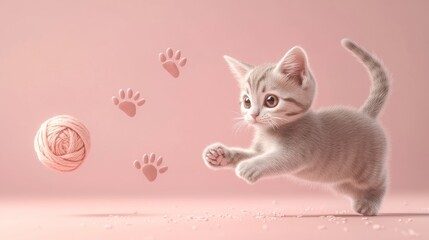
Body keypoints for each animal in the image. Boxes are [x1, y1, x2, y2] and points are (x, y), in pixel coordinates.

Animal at [202, 39, 390, 216]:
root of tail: (366, 114)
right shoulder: (259, 150)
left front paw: (251, 166)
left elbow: (275, 159)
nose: (253, 115)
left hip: (368, 171)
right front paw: (220, 155)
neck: (270, 132)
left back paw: (370, 203)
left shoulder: (300, 149)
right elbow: (248, 154)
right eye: (246, 101)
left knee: (379, 183)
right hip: (339, 180)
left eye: (271, 100)